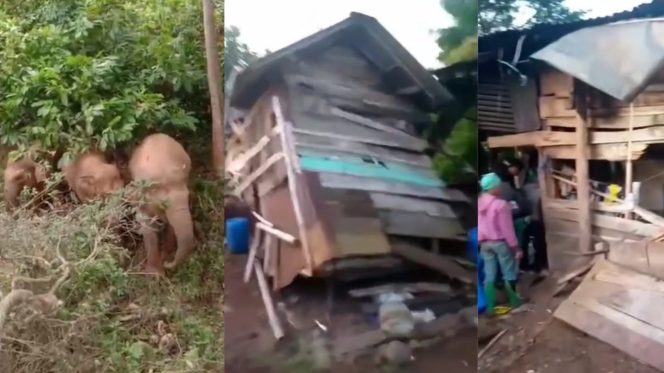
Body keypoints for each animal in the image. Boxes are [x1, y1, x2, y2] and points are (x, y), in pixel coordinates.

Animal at [128, 132, 193, 274]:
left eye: (188, 197)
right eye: (164, 204)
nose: (167, 263)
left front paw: (165, 257)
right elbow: (147, 227)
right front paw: (155, 274)